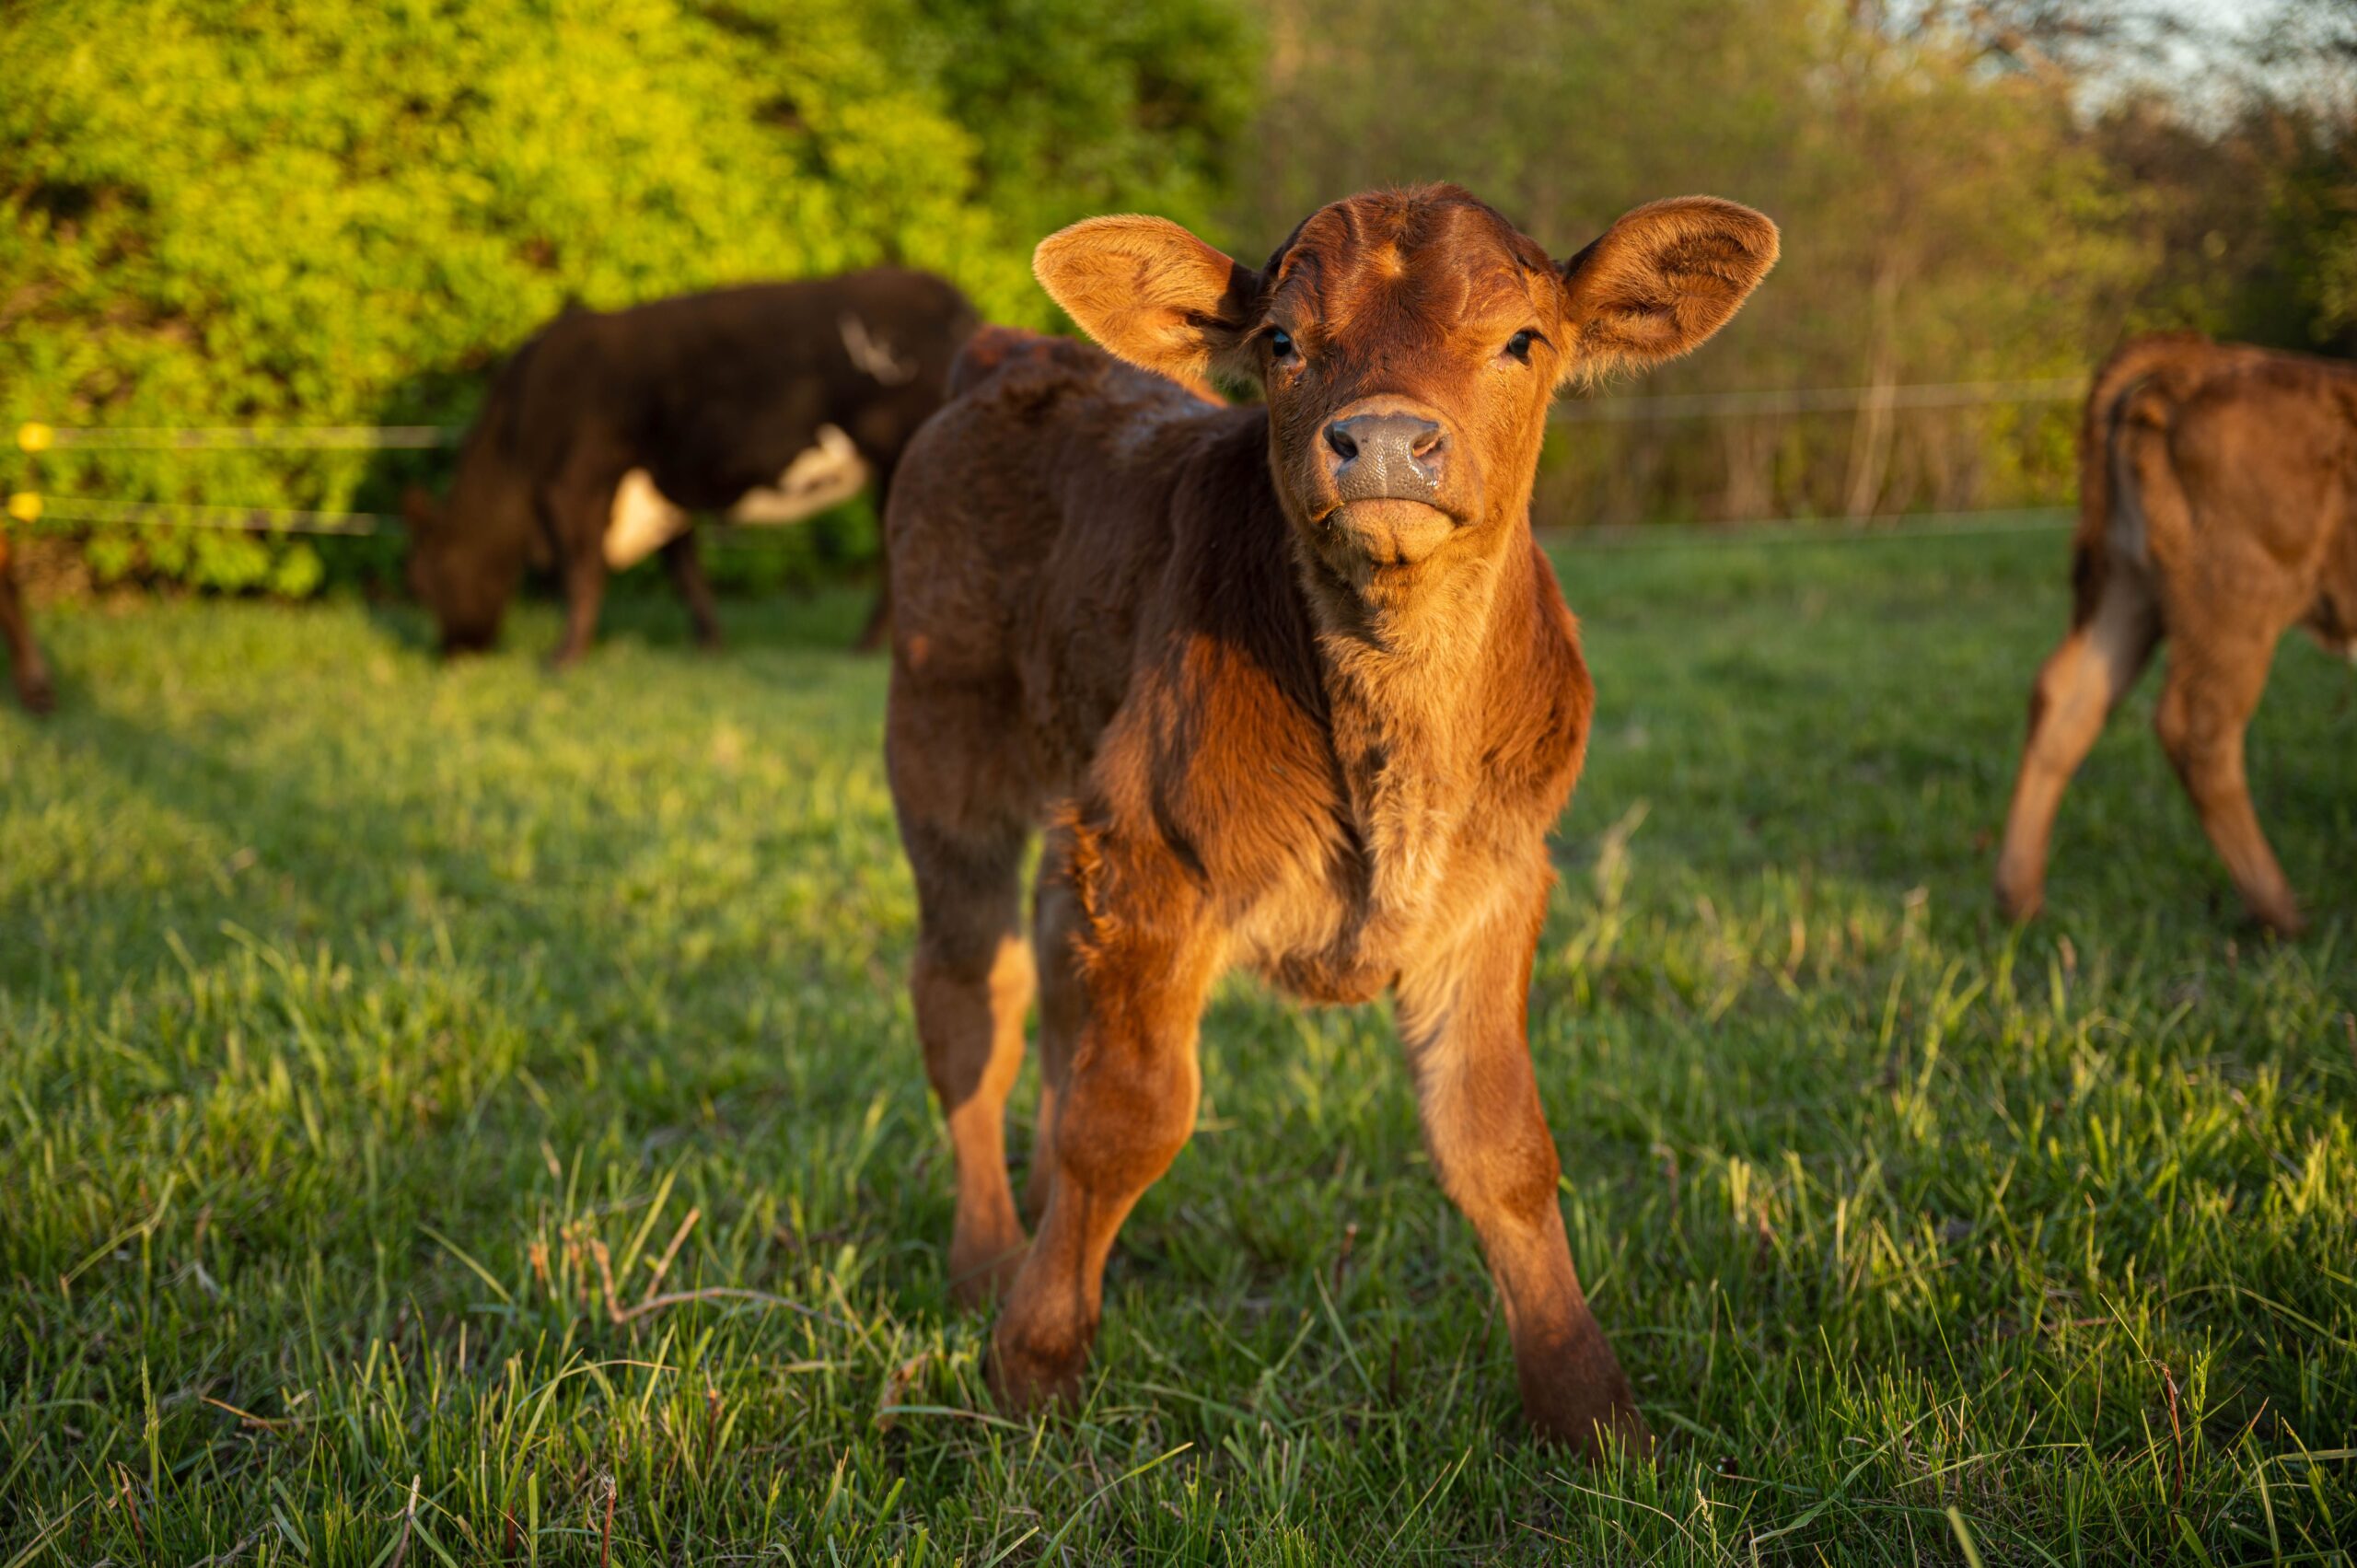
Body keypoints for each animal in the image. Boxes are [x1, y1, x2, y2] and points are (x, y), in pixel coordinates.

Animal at [402, 271, 978, 664]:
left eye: (426, 583)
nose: (450, 654)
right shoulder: (661, 489)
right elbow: (685, 572)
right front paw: (711, 645)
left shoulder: (574, 484)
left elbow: (581, 572)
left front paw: (563, 658)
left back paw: (868, 648)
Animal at [884, 184, 1778, 1453]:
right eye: (1281, 341)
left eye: (1523, 340)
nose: (1387, 441)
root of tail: (1019, 351)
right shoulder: (1159, 858)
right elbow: (1128, 1116)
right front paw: (1034, 1363)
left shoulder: (1494, 883)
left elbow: (1500, 1144)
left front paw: (1591, 1410)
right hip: (942, 750)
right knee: (971, 998)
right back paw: (989, 1261)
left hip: (1074, 796)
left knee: (1057, 982)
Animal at [1996, 333, 2356, 937]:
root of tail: (2204, 360)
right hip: (2237, 596)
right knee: (2198, 729)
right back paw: (2282, 914)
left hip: (2130, 585)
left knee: (2067, 700)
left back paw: (2019, 901)